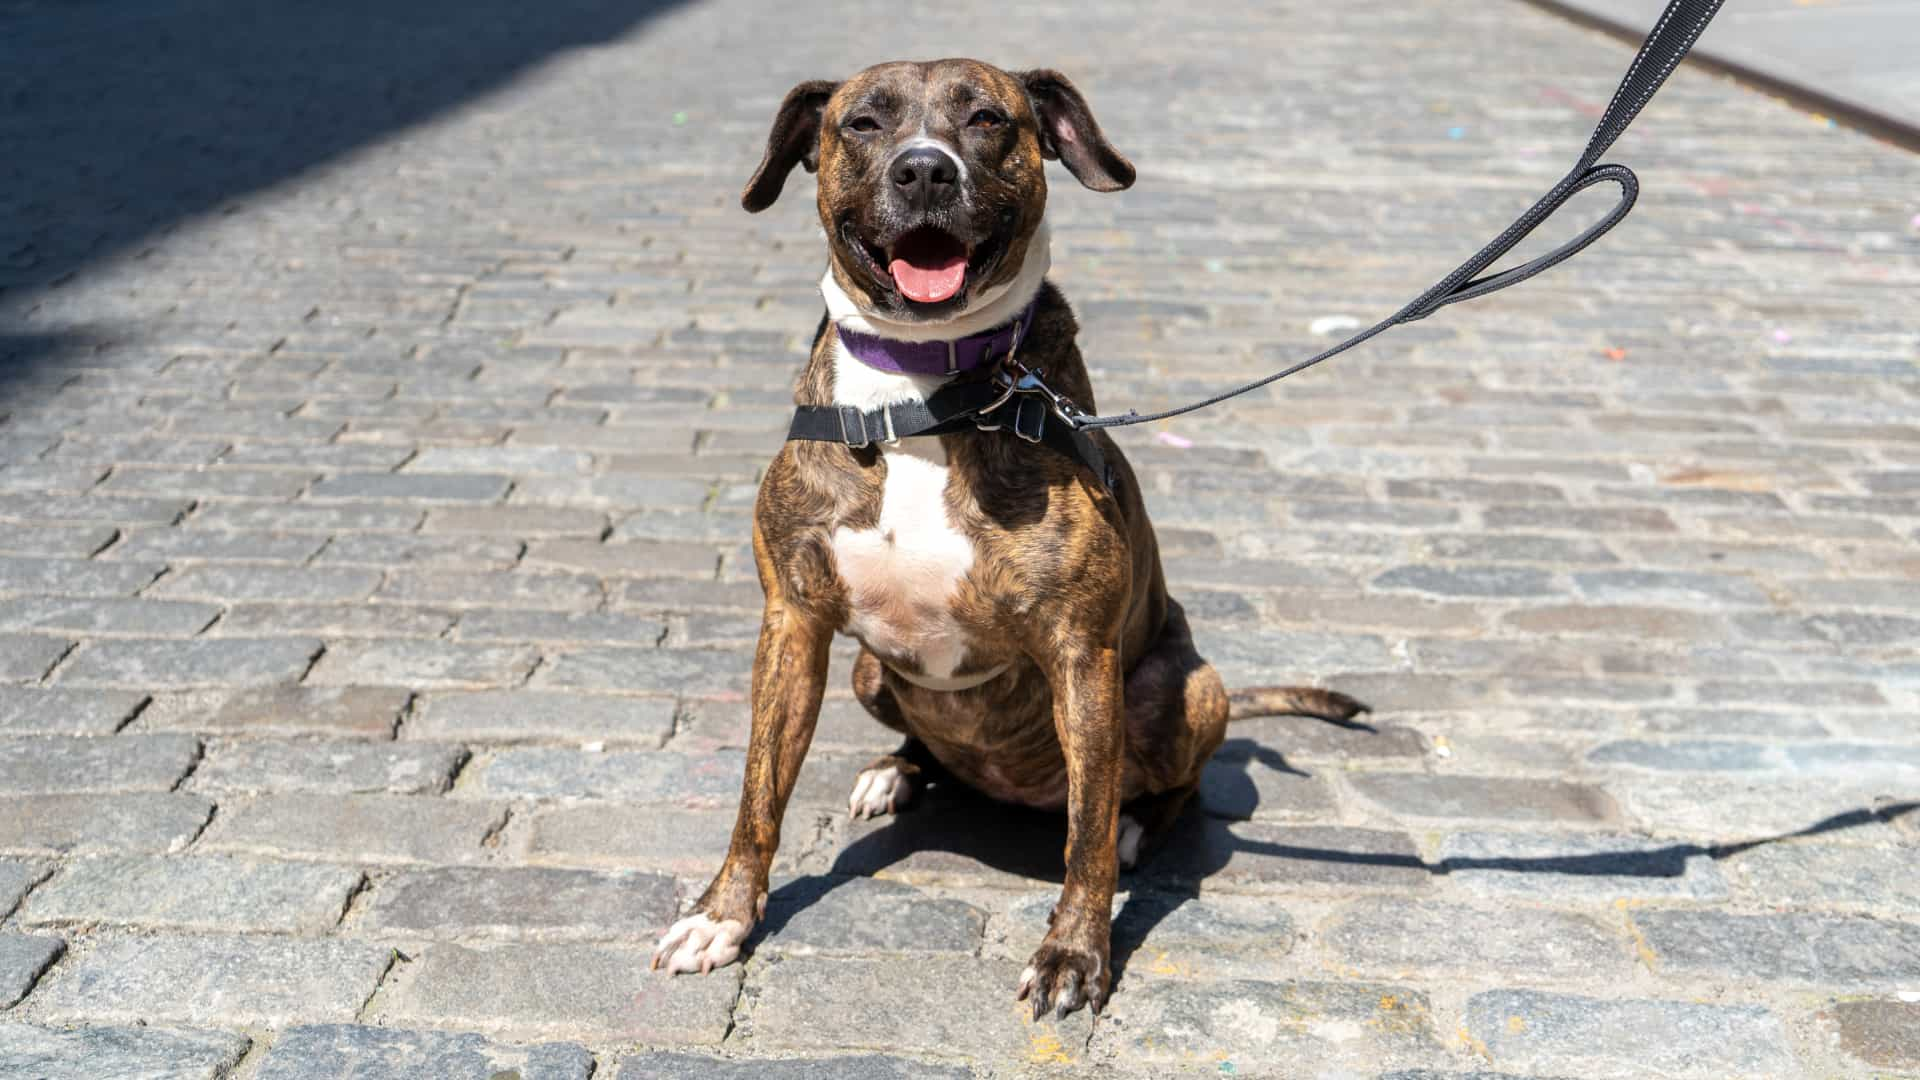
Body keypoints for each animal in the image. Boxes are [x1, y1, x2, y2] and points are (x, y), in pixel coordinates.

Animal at [652, 58, 1359, 1014]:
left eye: (988, 119)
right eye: (863, 123)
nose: (924, 169)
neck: (922, 393)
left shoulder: (1081, 653)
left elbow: (1085, 834)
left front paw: (1076, 953)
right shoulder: (792, 624)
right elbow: (758, 792)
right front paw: (722, 916)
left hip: (1180, 690)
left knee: (1156, 786)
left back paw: (1138, 825)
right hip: (872, 673)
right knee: (927, 744)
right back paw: (898, 771)